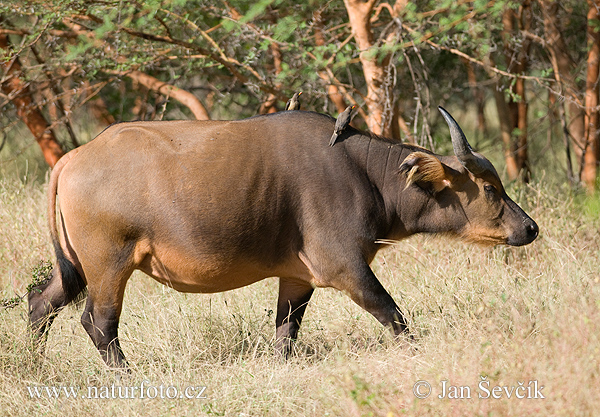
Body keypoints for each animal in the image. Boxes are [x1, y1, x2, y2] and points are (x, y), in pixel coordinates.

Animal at [28, 106, 540, 368]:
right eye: (490, 189)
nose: (530, 227)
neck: (364, 174)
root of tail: (73, 158)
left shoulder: (297, 279)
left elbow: (285, 334)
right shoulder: (347, 270)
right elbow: (395, 318)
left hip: (74, 269)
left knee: (40, 303)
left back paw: (33, 363)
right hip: (109, 268)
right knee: (99, 323)